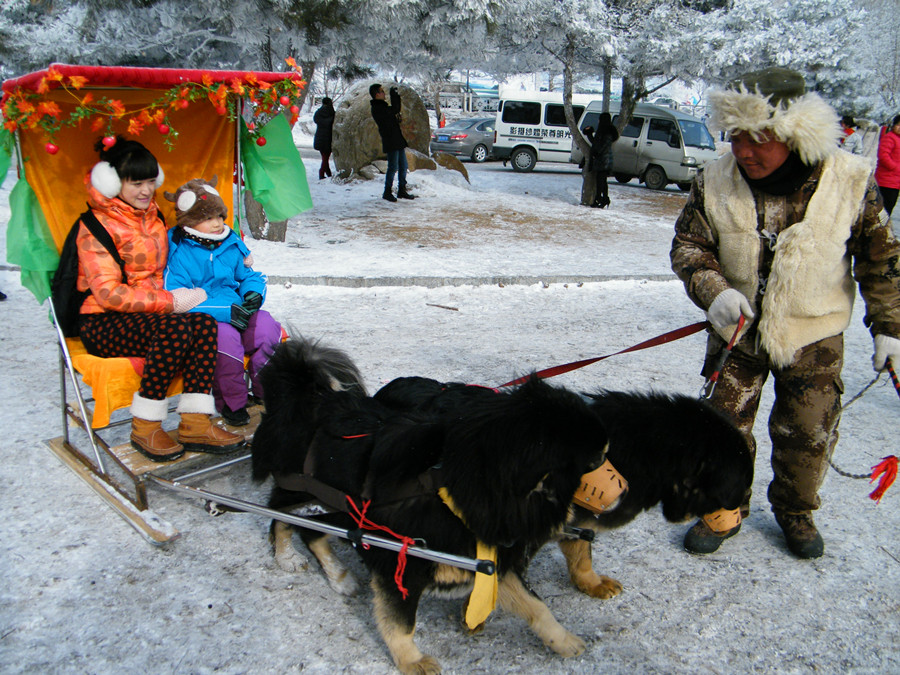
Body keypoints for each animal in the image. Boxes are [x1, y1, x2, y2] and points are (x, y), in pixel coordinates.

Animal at [253, 340, 612, 672]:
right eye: (597, 459)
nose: (619, 491)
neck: (454, 489)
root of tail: (306, 396)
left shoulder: (489, 558)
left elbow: (536, 605)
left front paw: (563, 640)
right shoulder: (401, 564)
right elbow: (400, 624)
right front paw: (412, 662)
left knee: (311, 533)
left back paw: (339, 577)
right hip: (300, 492)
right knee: (280, 519)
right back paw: (291, 560)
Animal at [372, 378, 752, 600]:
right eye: (735, 495)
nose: (736, 521)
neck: (642, 452)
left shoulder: (578, 522)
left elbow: (582, 556)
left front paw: (591, 584)